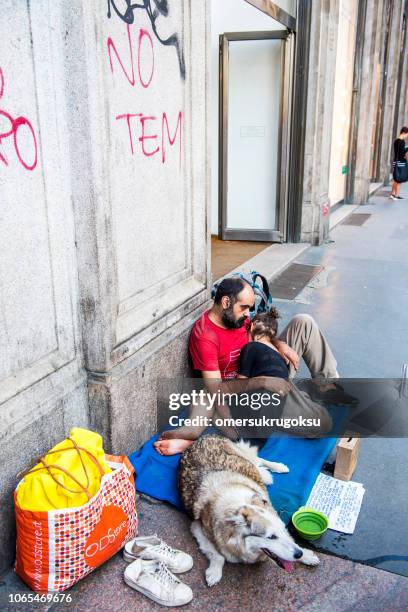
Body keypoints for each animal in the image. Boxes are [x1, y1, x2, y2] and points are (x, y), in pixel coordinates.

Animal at [178, 438, 318, 584]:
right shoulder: (196, 527)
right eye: (271, 537)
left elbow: (293, 541)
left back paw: (278, 467)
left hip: (244, 455)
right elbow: (218, 556)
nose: (299, 554)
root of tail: (202, 438)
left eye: (283, 529)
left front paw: (306, 555)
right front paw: (214, 572)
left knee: (258, 459)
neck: (238, 505)